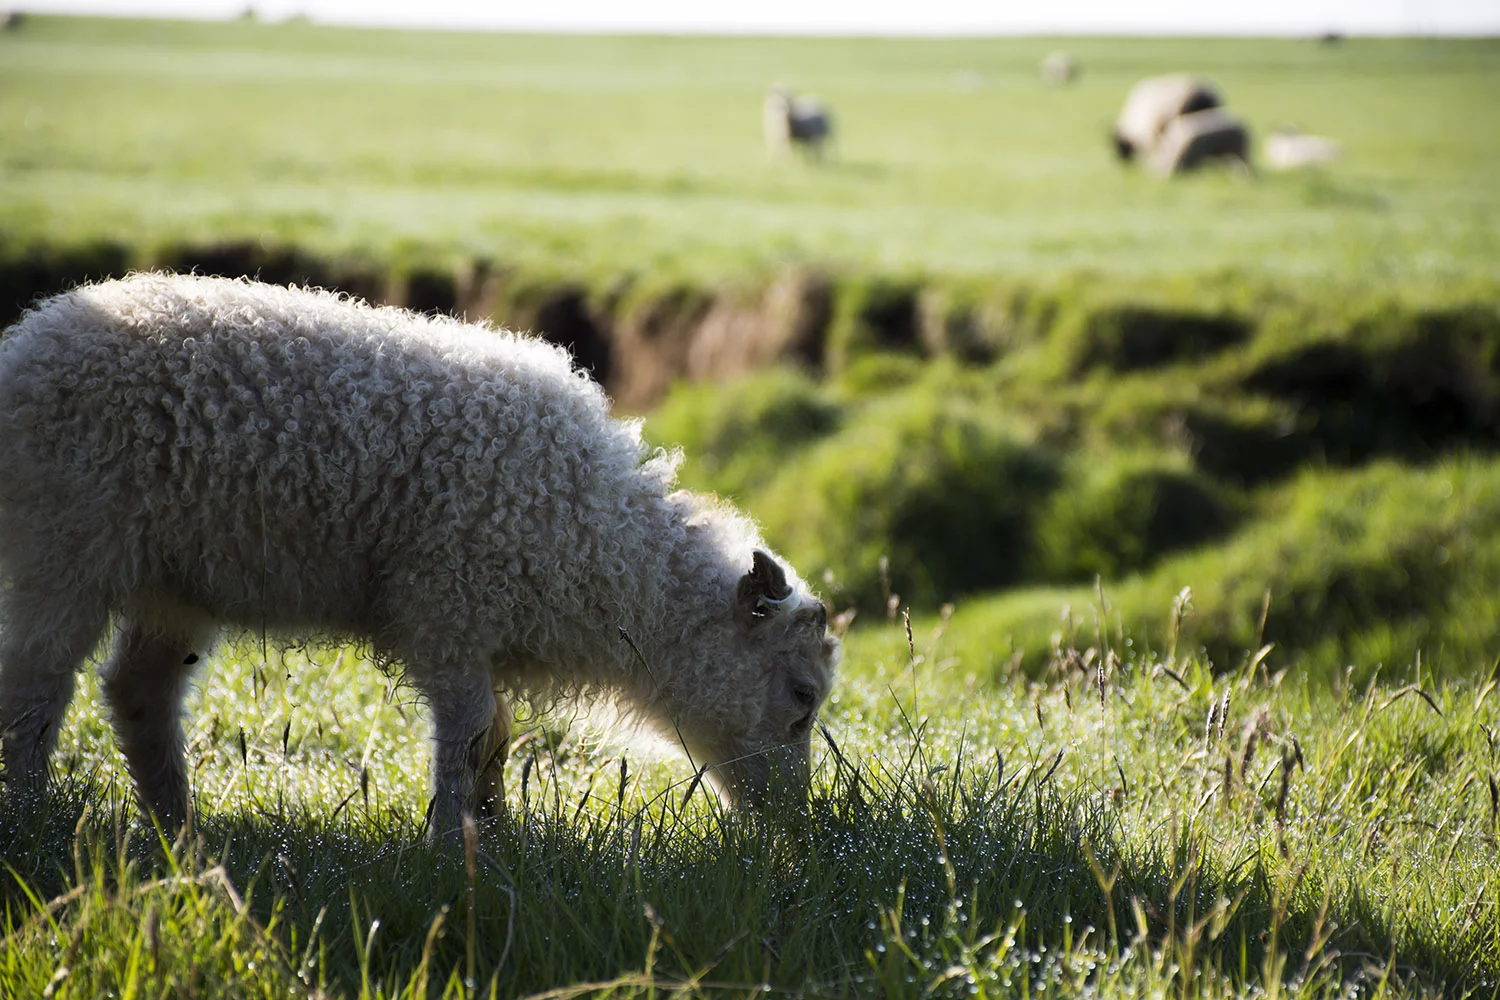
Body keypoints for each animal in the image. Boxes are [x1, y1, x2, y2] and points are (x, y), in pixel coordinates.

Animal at [0, 273, 839, 840]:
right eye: (801, 698)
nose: (795, 830)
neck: (606, 550)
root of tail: (30, 338)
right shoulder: (450, 609)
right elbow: (468, 731)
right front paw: (452, 845)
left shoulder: (480, 630)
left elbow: (496, 735)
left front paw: (493, 832)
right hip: (61, 550)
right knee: (34, 686)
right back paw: (34, 816)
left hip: (173, 583)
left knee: (137, 692)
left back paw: (179, 830)